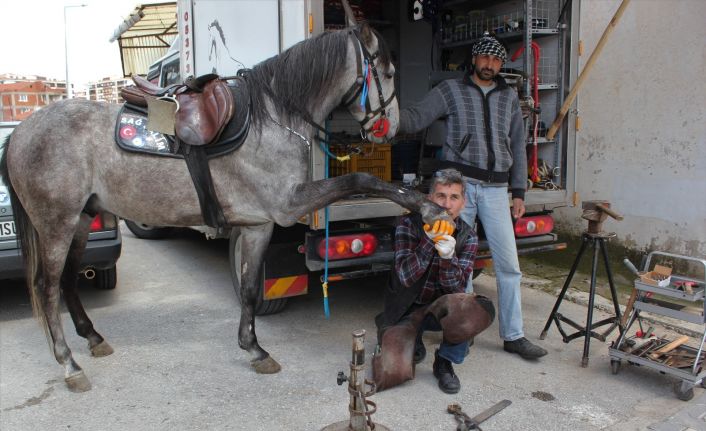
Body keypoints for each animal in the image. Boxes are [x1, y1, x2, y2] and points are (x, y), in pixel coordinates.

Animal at [0, 22, 451, 393]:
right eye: (388, 72)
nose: (391, 128)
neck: (272, 119)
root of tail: (20, 132)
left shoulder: (258, 225)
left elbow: (250, 288)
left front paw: (254, 349)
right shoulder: (288, 204)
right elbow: (361, 180)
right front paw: (430, 210)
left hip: (80, 221)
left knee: (68, 282)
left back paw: (92, 338)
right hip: (56, 225)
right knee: (47, 288)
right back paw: (69, 364)